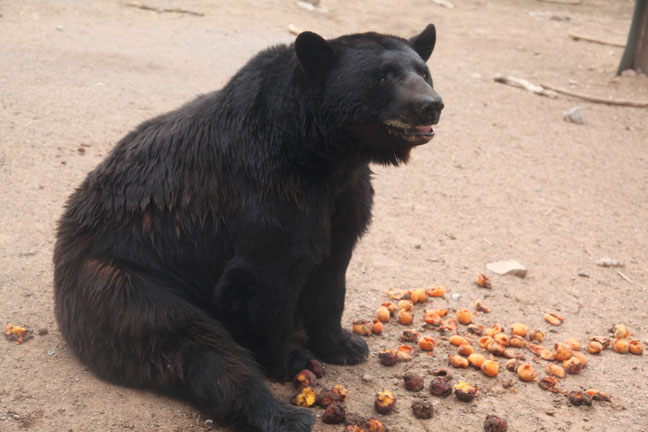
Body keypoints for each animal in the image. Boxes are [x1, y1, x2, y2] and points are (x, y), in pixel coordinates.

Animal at [53, 24, 443, 432]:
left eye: (424, 71)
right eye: (382, 76)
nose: (431, 104)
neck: (324, 152)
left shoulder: (344, 199)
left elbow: (331, 272)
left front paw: (345, 344)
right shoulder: (269, 190)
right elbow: (263, 279)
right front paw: (287, 359)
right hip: (122, 282)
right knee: (189, 342)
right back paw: (284, 415)